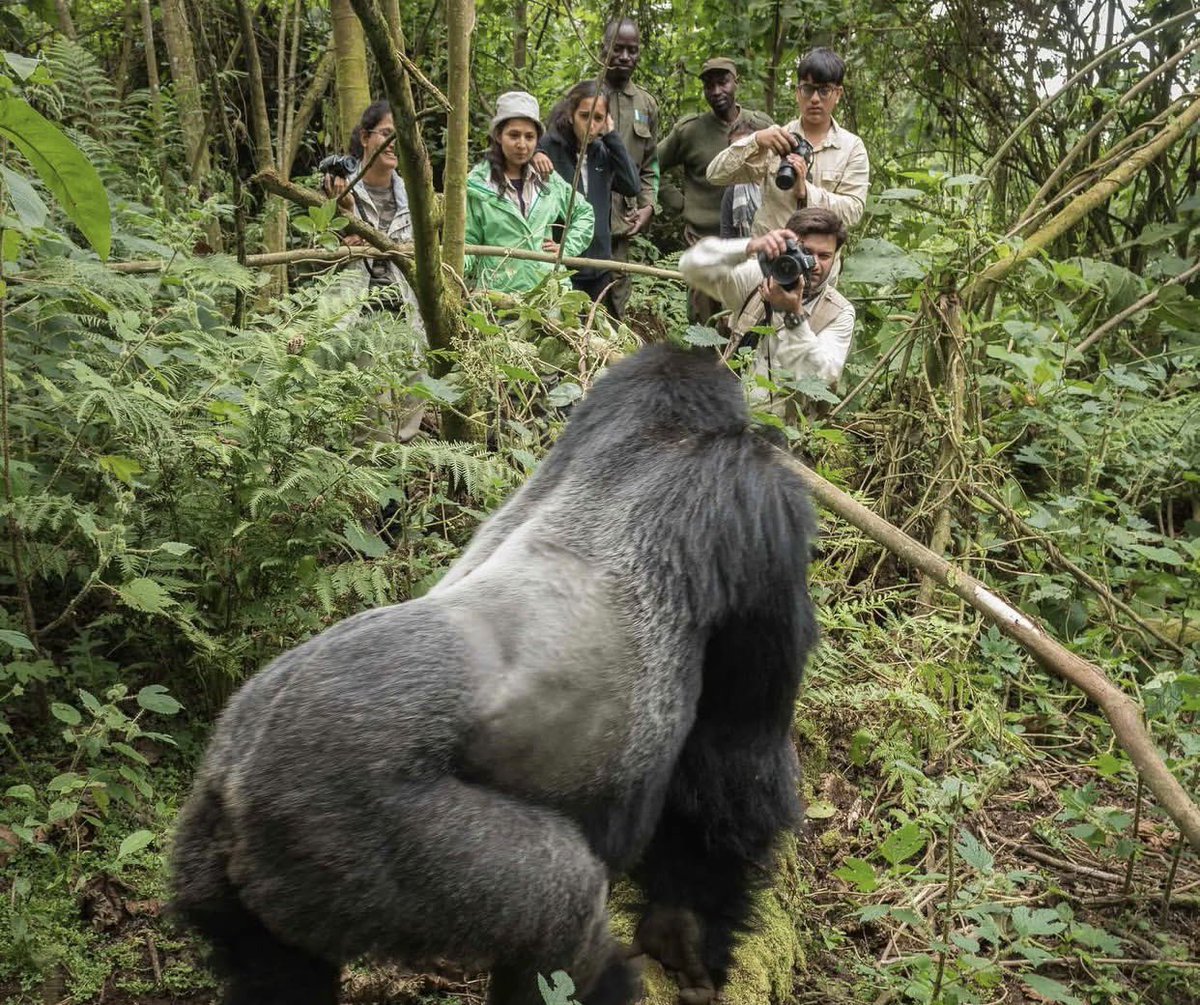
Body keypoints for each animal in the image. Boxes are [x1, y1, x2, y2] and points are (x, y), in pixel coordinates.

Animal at [170, 342, 817, 1005]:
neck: (654, 431)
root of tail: (234, 786)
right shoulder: (763, 501)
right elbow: (735, 757)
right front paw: (685, 931)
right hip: (342, 829)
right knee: (563, 909)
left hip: (212, 855)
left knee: (272, 968)